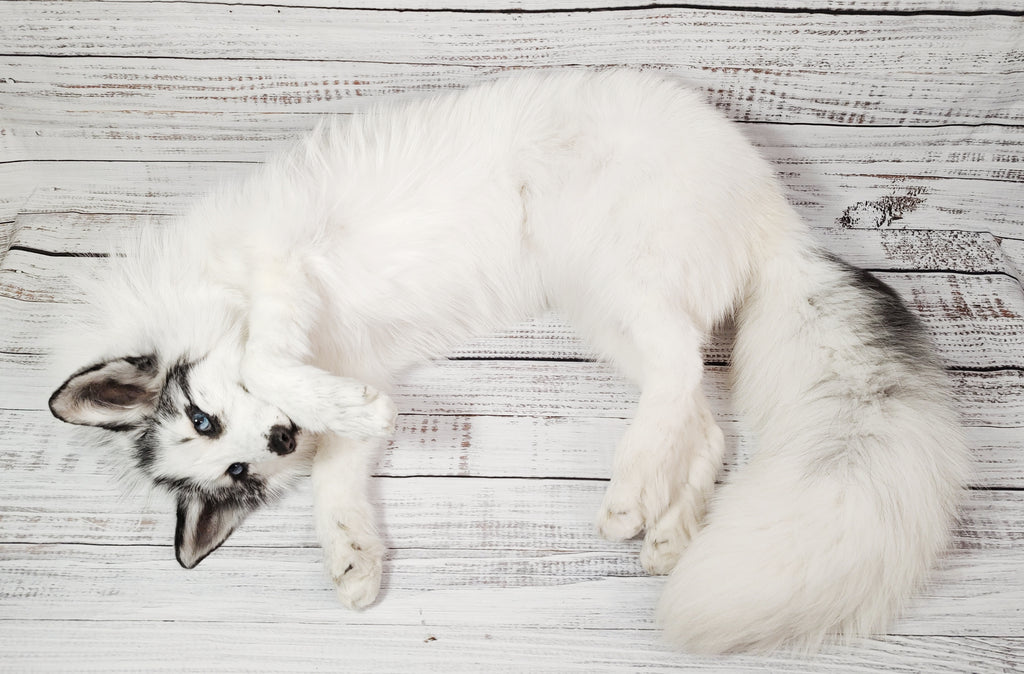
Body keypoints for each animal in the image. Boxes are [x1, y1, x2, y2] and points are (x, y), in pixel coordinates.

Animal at [48, 68, 969, 653]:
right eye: (234, 469)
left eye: (206, 418)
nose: (277, 444)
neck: (202, 295)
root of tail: (772, 214)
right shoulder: (351, 367)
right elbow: (341, 479)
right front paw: (353, 560)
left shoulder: (281, 277)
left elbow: (276, 362)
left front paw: (336, 412)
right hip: (606, 310)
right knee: (700, 420)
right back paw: (668, 526)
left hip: (607, 262)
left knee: (681, 374)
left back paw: (630, 495)